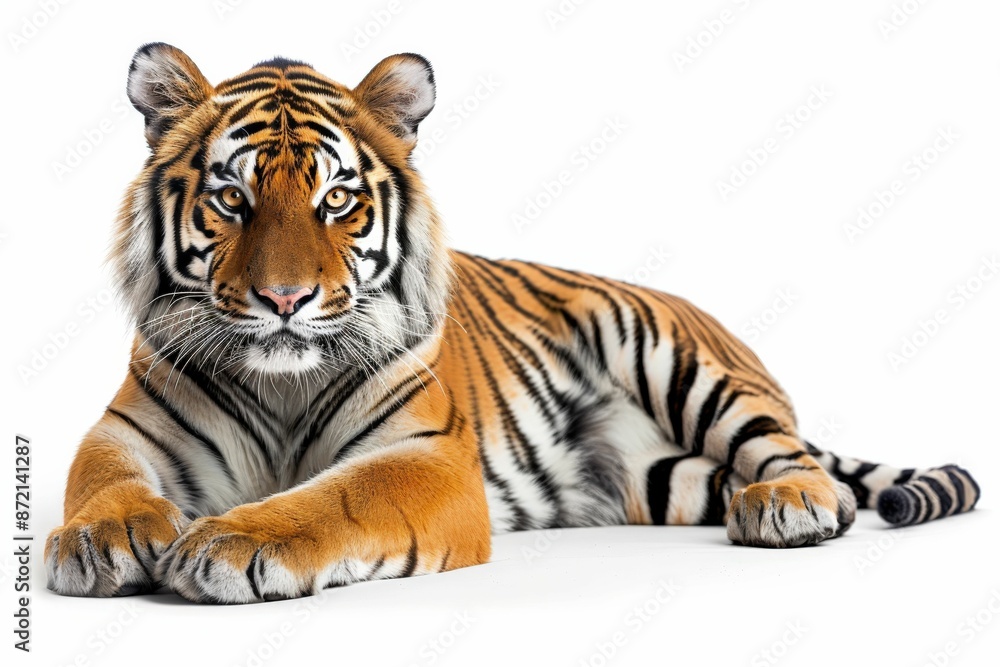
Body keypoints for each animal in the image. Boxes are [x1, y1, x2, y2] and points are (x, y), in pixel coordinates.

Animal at [46, 43, 980, 603]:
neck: (281, 384)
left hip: (681, 358)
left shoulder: (426, 458)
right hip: (658, 477)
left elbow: (337, 495)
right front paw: (101, 538)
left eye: (336, 200)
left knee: (797, 460)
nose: (284, 300)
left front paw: (233, 539)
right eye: (232, 199)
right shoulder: (127, 427)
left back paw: (788, 505)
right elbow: (102, 479)